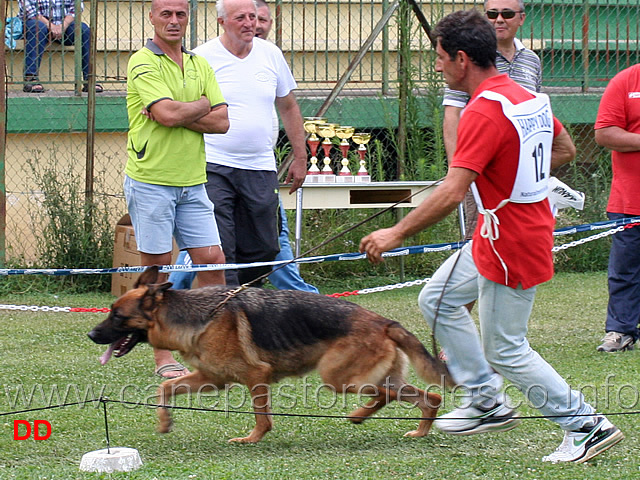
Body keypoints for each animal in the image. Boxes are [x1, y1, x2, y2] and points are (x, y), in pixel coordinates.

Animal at [89, 266, 450, 442]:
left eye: (117, 317)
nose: (91, 335)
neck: (198, 317)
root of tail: (384, 322)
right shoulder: (211, 379)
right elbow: (164, 388)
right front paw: (165, 423)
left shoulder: (255, 377)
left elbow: (261, 417)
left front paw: (252, 439)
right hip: (372, 378)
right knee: (429, 398)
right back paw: (418, 430)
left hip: (338, 378)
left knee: (386, 395)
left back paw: (359, 415)